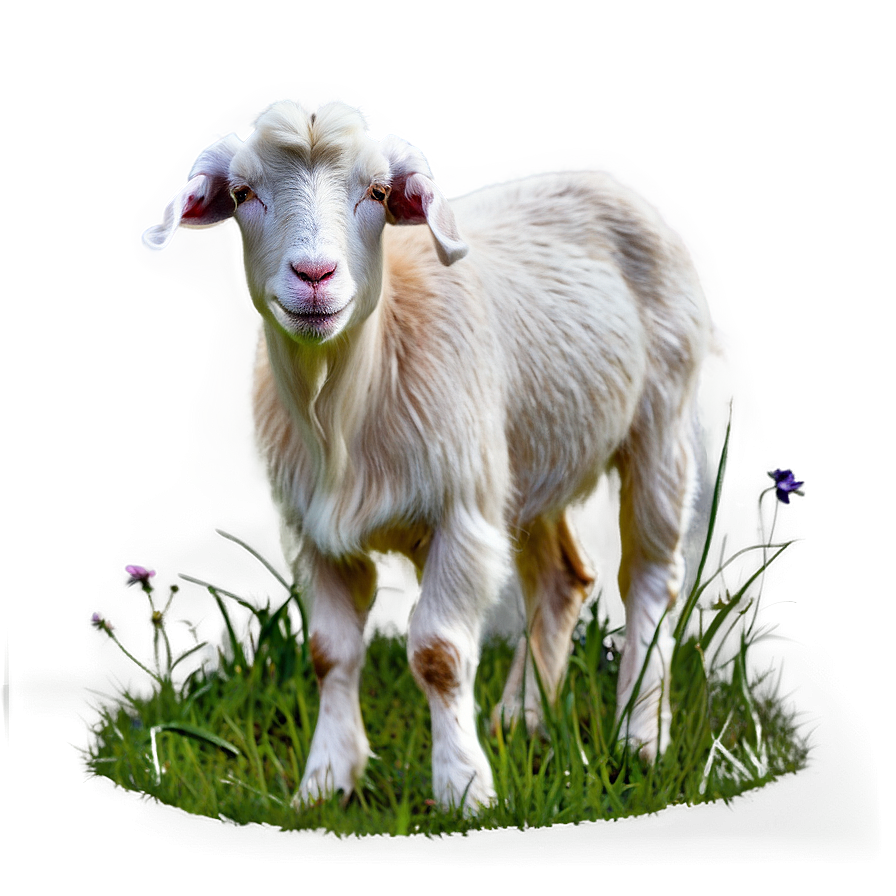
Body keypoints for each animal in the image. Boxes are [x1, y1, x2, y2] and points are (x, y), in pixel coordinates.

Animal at [145, 99, 726, 815]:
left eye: (376, 193)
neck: (344, 410)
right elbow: (328, 652)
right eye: (243, 194)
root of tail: (604, 178)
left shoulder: (462, 515)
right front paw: (326, 780)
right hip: (525, 459)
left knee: (650, 573)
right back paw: (521, 719)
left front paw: (464, 790)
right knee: (563, 578)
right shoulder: (308, 529)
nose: (315, 277)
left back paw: (641, 736)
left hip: (664, 416)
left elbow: (438, 654)